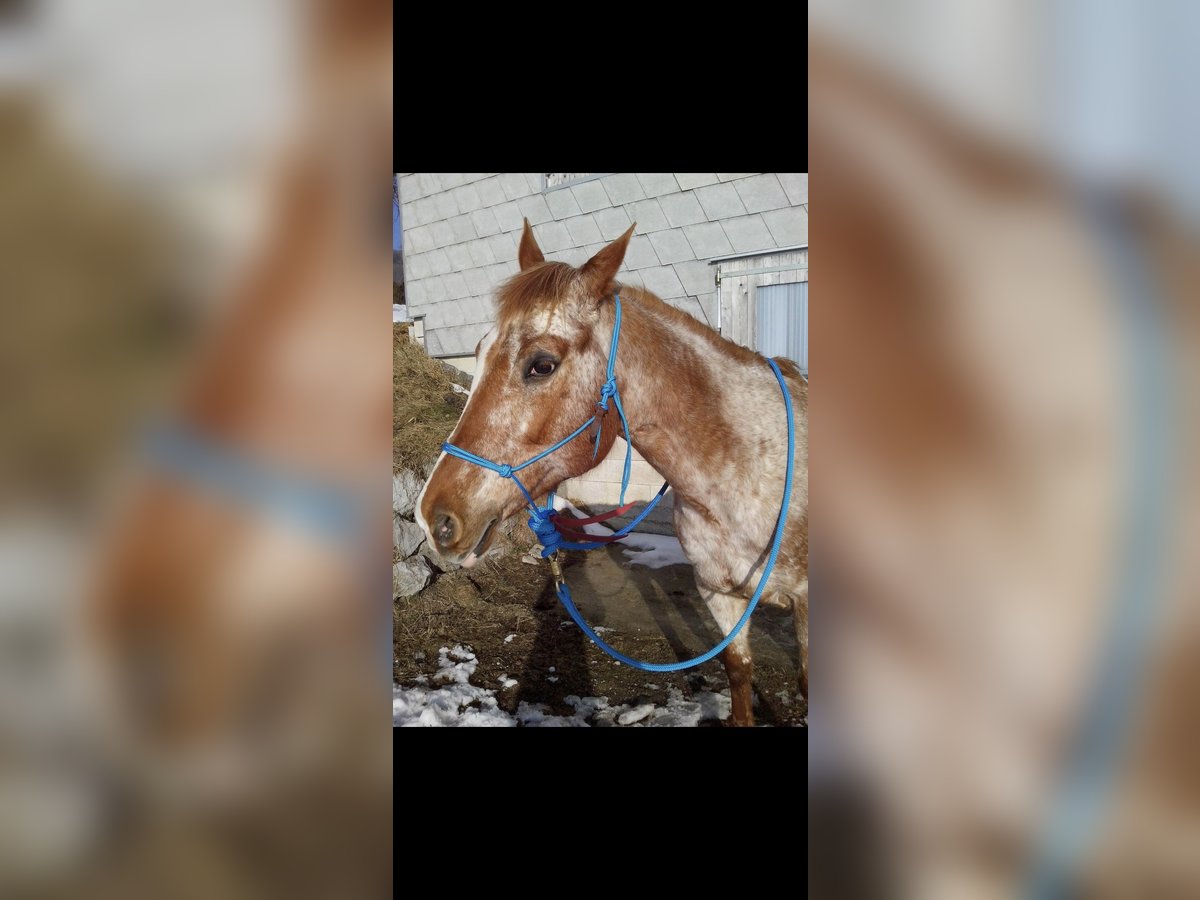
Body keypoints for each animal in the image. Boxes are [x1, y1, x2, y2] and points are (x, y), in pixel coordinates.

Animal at [417, 218, 811, 724]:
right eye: (479, 353)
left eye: (541, 365)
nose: (434, 517)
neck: (745, 472)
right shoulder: (720, 597)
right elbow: (740, 676)